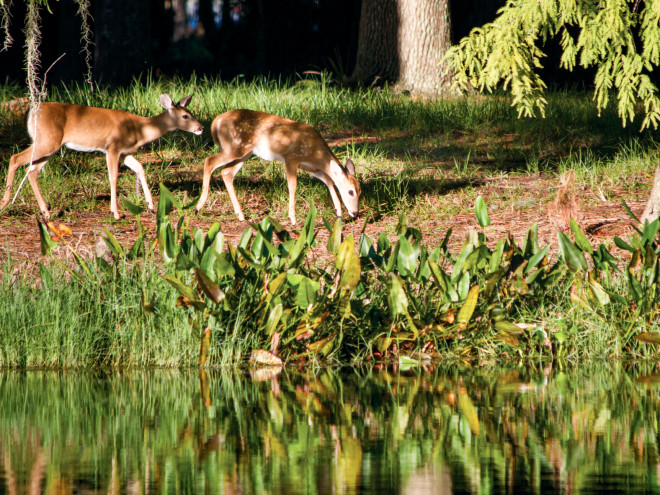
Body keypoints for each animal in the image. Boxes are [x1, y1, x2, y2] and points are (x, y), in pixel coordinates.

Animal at [0, 93, 204, 220]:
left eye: (191, 113)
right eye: (185, 116)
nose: (200, 128)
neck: (140, 128)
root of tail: (31, 113)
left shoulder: (125, 152)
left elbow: (140, 168)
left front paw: (151, 206)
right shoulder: (112, 146)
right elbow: (113, 177)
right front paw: (116, 213)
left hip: (50, 146)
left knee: (31, 170)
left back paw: (46, 213)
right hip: (47, 140)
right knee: (15, 158)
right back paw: (5, 203)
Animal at [194, 109, 361, 226]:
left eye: (360, 191)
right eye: (350, 191)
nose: (355, 213)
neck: (317, 153)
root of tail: (216, 121)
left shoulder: (311, 167)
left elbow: (329, 180)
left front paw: (338, 212)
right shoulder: (291, 158)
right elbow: (293, 186)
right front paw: (292, 218)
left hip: (245, 153)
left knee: (226, 172)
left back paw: (240, 215)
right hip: (235, 147)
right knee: (209, 161)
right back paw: (198, 206)